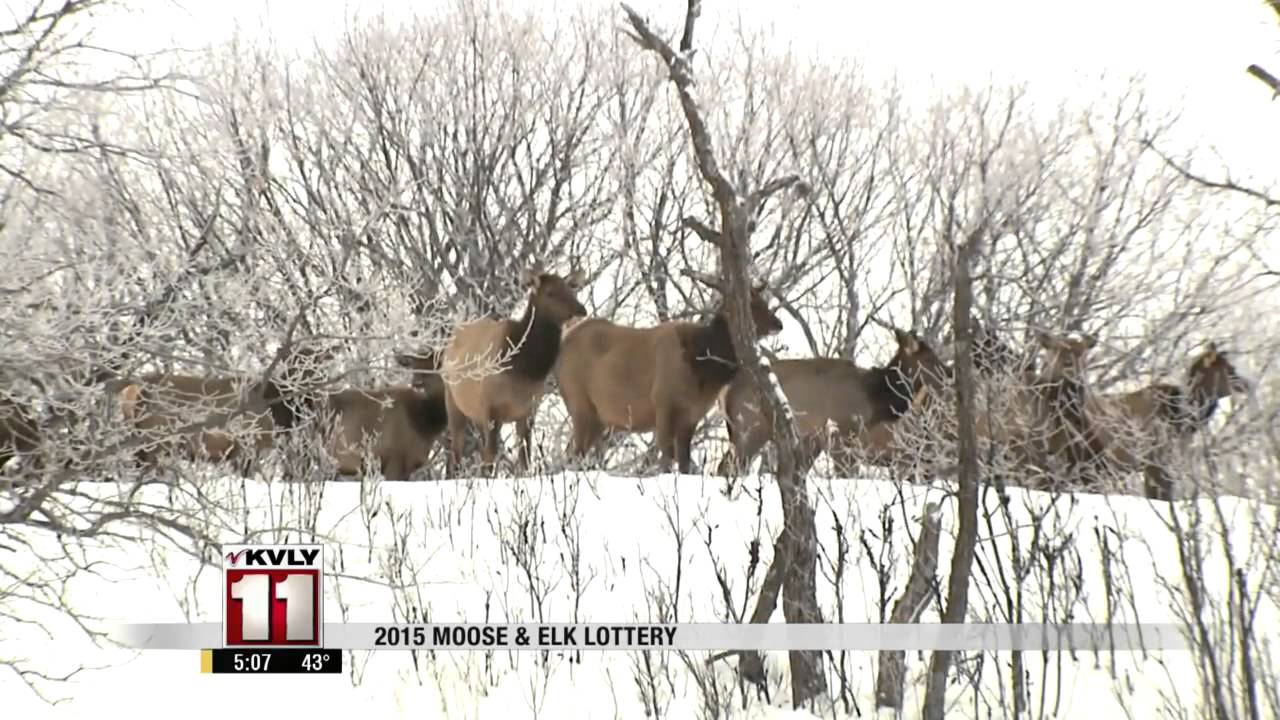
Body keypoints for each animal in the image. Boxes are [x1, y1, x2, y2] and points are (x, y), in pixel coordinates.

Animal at [440, 266, 588, 477]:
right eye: (550, 292)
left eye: (571, 289)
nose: (581, 309)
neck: (524, 370)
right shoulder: (491, 408)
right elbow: (491, 457)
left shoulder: (528, 411)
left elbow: (524, 459)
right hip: (453, 403)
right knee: (456, 452)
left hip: (476, 415)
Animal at [555, 271, 784, 475]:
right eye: (750, 305)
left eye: (764, 301)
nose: (778, 324)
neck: (701, 369)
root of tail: (564, 340)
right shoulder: (663, 401)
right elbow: (667, 454)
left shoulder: (692, 414)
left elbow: (683, 460)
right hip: (579, 401)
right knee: (574, 452)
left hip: (599, 417)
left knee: (574, 451)